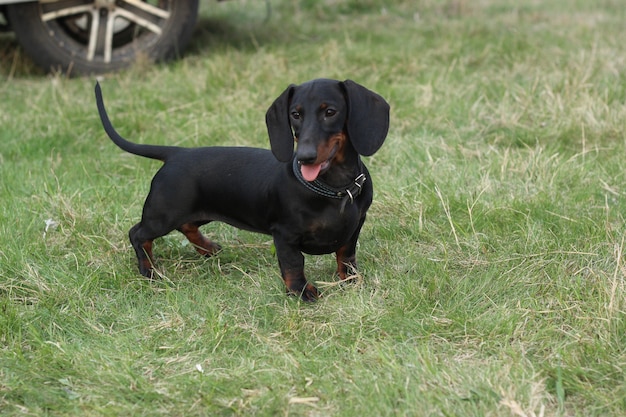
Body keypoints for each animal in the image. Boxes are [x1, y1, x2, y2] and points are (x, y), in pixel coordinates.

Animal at [95, 79, 388, 300]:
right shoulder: (284, 234)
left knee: (187, 226)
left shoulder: (355, 226)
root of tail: (177, 153)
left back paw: (208, 248)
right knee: (138, 234)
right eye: (295, 114)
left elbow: (346, 254)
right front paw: (301, 292)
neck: (333, 188)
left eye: (330, 112)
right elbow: (294, 264)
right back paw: (149, 271)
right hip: (163, 215)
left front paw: (350, 279)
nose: (305, 157)